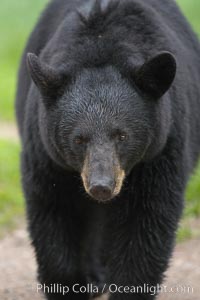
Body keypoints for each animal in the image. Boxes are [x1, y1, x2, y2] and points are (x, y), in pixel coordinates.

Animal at [15, 0, 200, 298]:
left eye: (122, 135)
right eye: (79, 139)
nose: (101, 185)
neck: (101, 45)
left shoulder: (161, 149)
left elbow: (144, 223)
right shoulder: (46, 152)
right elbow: (53, 211)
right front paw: (69, 286)